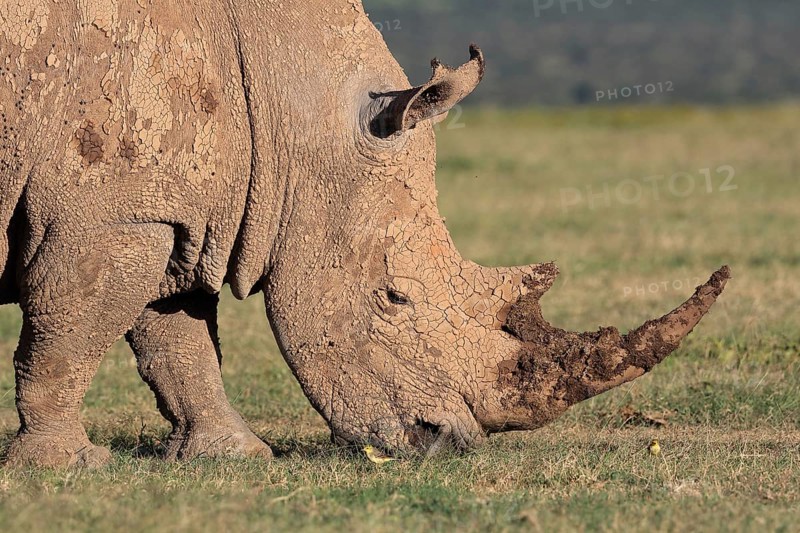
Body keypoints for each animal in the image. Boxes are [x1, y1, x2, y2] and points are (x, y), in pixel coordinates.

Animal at [0, 0, 729, 468]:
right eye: (392, 297)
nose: (446, 443)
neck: (291, 108)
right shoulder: (111, 212)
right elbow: (72, 330)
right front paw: (62, 466)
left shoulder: (167, 209)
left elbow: (175, 336)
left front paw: (235, 455)